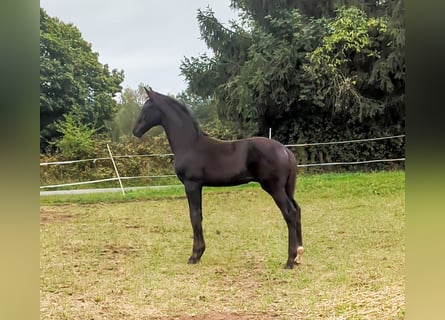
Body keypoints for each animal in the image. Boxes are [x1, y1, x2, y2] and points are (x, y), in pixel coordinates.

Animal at [132, 86, 304, 268]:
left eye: (146, 108)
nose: (135, 131)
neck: (189, 144)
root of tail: (285, 150)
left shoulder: (191, 184)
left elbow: (194, 216)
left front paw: (195, 255)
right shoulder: (197, 186)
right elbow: (198, 215)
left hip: (274, 188)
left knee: (290, 213)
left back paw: (290, 260)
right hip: (287, 189)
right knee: (297, 210)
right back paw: (299, 255)